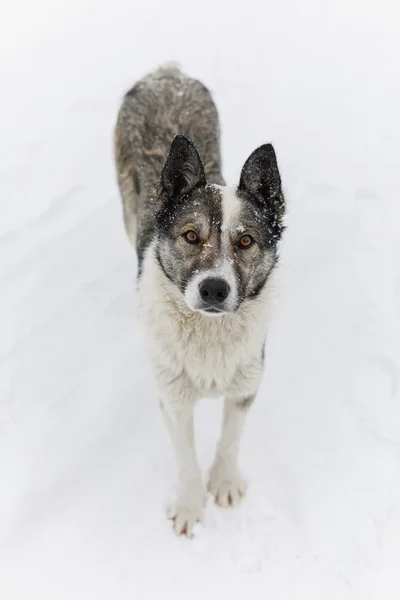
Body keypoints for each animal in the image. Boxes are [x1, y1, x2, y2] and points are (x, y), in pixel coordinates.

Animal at [114, 63, 286, 536]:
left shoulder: (246, 385)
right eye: (191, 236)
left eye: (245, 241)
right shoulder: (173, 401)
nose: (213, 289)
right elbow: (186, 460)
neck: (210, 335)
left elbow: (229, 440)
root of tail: (165, 75)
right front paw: (191, 508)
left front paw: (224, 485)